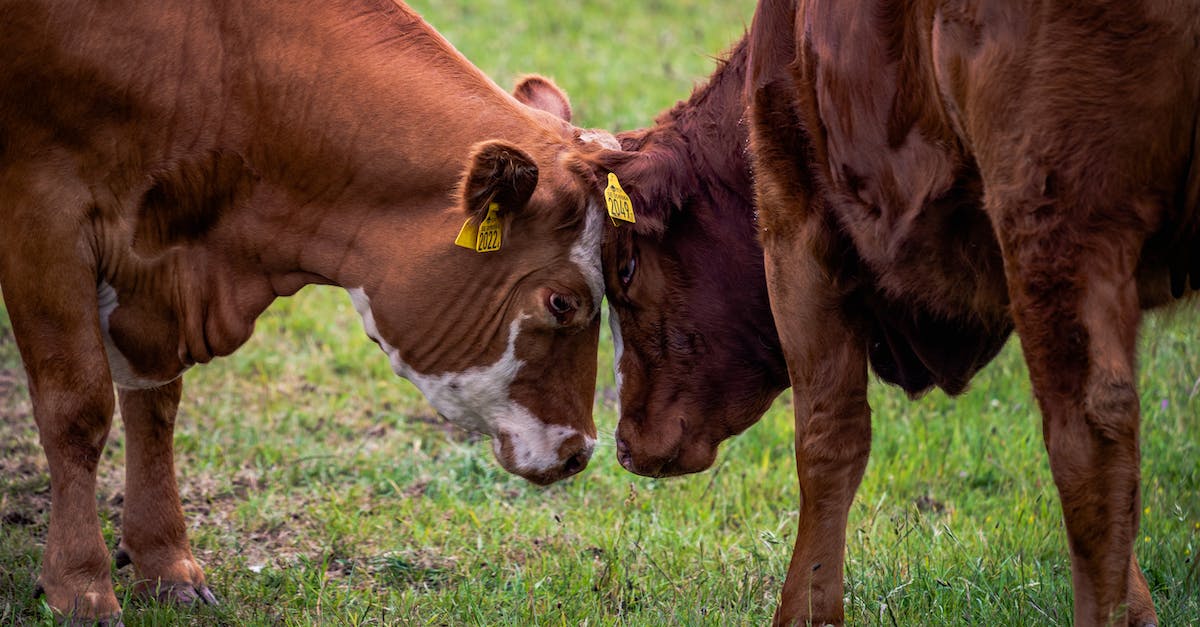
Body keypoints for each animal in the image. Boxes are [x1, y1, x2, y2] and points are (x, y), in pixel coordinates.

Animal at [0, 0, 616, 622]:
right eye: (562, 302)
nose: (580, 451)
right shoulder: (42, 215)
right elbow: (77, 411)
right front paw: (80, 587)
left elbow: (155, 407)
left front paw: (165, 563)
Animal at [593, 1, 1200, 625]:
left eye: (626, 268)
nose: (625, 444)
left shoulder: (794, 220)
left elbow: (827, 438)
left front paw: (805, 611)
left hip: (1051, 215)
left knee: (1087, 438)